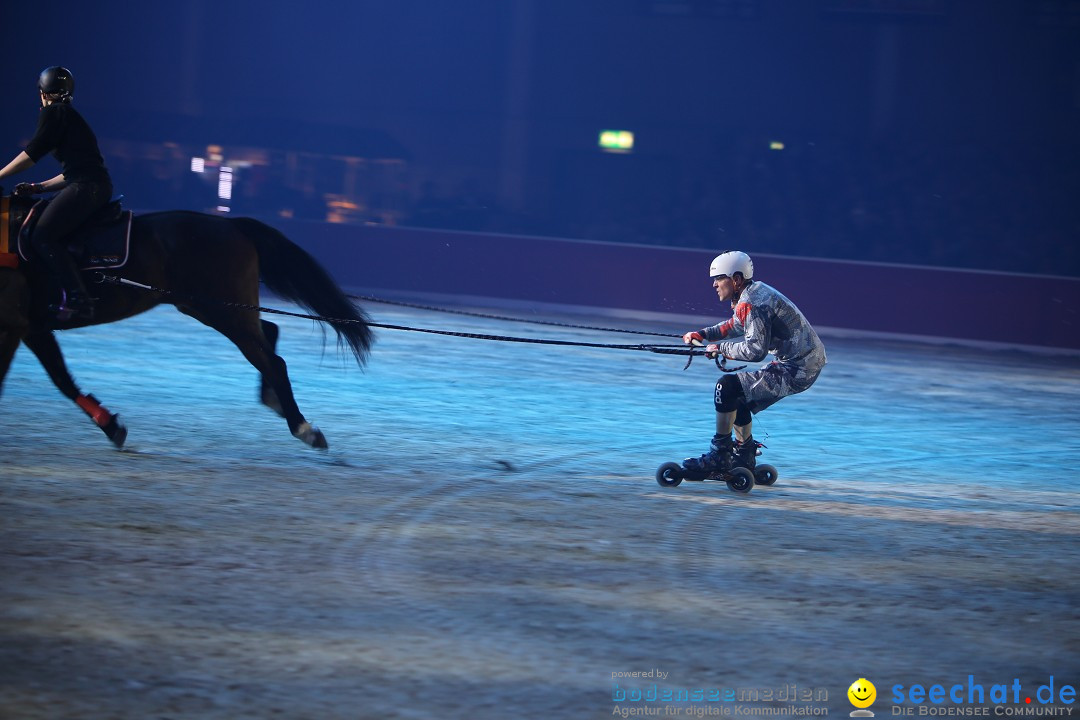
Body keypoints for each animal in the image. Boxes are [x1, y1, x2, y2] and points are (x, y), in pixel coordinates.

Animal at [0, 191, 373, 451]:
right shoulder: (32, 328)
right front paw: (112, 427)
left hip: (221, 309)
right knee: (268, 333)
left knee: (272, 360)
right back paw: (276, 401)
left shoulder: (14, 325)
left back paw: (303, 428)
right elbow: (62, 379)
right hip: (209, 308)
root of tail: (231, 223)